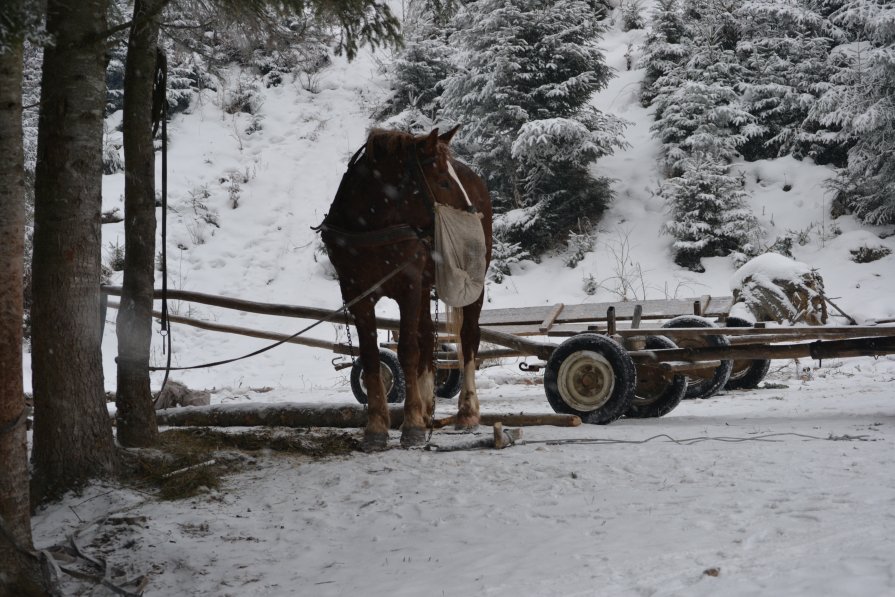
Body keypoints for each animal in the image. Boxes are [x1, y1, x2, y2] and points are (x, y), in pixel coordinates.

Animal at [316, 128, 496, 450]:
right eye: (443, 181)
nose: (473, 224)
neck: (372, 228)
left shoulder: (409, 286)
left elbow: (408, 351)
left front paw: (411, 425)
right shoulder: (357, 294)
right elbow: (372, 356)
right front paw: (377, 427)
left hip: (469, 282)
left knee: (468, 337)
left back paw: (466, 411)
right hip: (425, 288)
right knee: (428, 336)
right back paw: (426, 409)